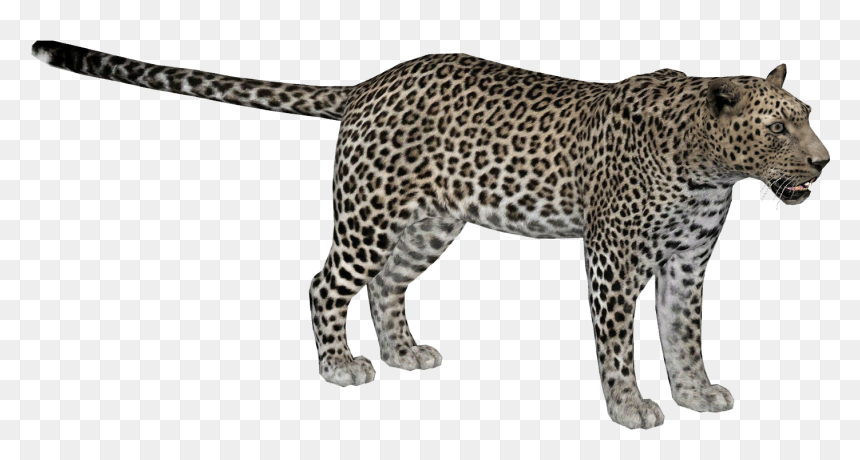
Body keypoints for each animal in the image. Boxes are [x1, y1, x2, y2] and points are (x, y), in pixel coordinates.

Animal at [32, 40, 830, 429]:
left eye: (808, 116)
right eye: (780, 127)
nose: (824, 161)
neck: (710, 166)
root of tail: (370, 84)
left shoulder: (687, 260)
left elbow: (682, 332)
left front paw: (696, 394)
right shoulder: (612, 257)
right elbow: (618, 343)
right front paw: (628, 407)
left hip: (430, 224)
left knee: (385, 283)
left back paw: (402, 353)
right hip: (368, 215)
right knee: (324, 283)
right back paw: (339, 367)